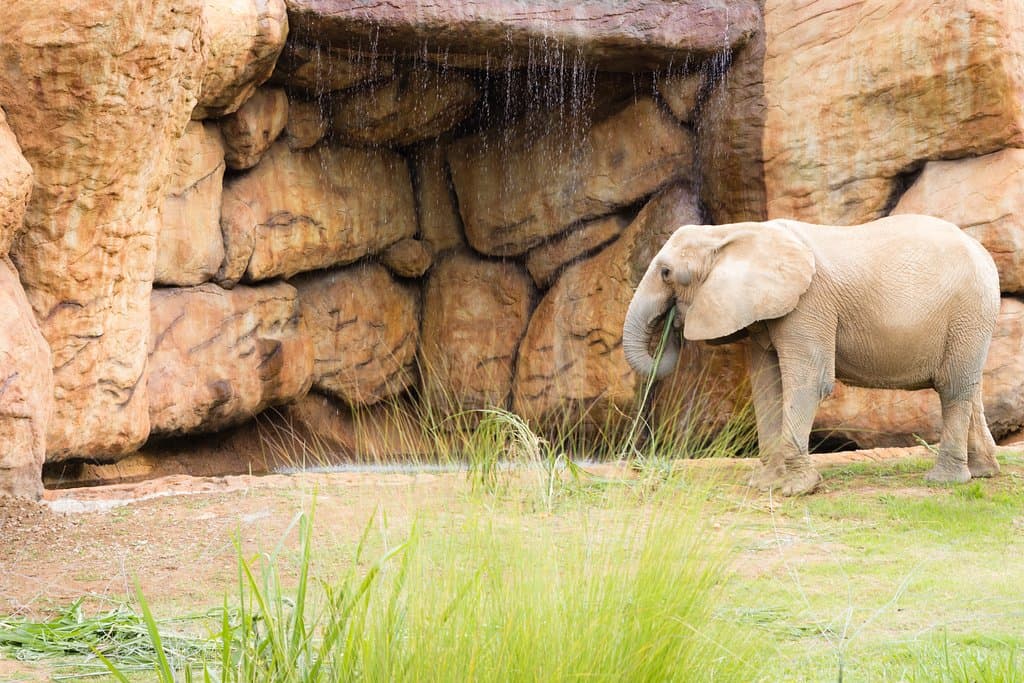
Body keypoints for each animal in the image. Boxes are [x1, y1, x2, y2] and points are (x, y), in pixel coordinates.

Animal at [622, 215, 1001, 495]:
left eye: (666, 273)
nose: (673, 324)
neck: (730, 233)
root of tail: (984, 254)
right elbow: (767, 387)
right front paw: (765, 485)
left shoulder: (808, 305)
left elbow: (808, 382)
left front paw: (797, 489)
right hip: (972, 320)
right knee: (970, 389)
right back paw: (983, 472)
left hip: (967, 310)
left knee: (952, 389)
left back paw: (945, 480)